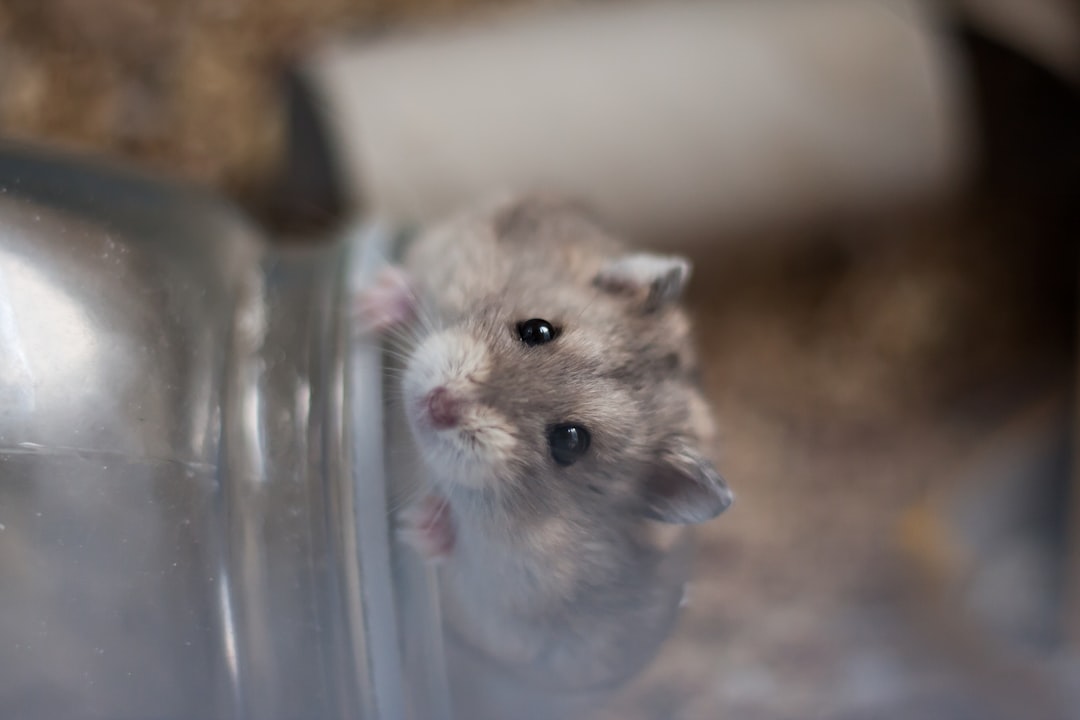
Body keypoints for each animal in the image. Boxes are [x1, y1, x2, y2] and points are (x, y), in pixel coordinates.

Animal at [354, 194, 734, 716]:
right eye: (538, 329)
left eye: (570, 441)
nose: (436, 404)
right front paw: (374, 301)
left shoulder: (511, 606)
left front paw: (419, 524)